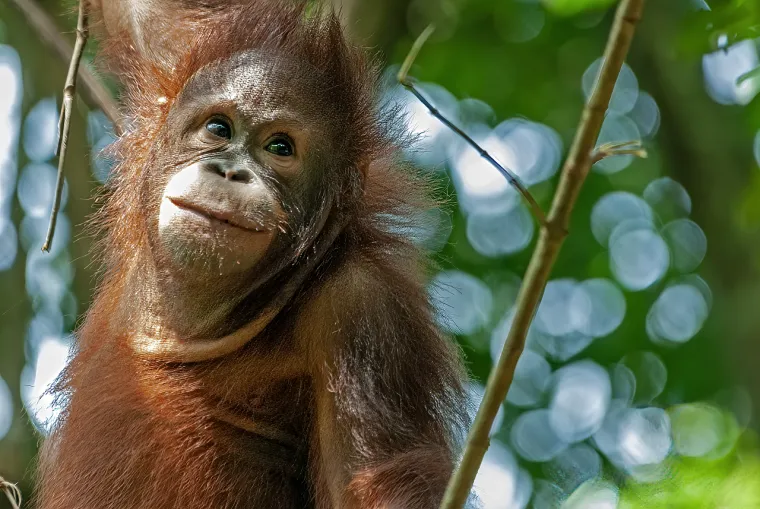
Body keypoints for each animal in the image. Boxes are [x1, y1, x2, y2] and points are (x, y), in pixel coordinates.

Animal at [34, 1, 472, 508]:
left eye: (280, 147)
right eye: (218, 128)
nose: (230, 171)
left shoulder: (364, 313)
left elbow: (381, 480)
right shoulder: (180, 55)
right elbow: (142, 18)